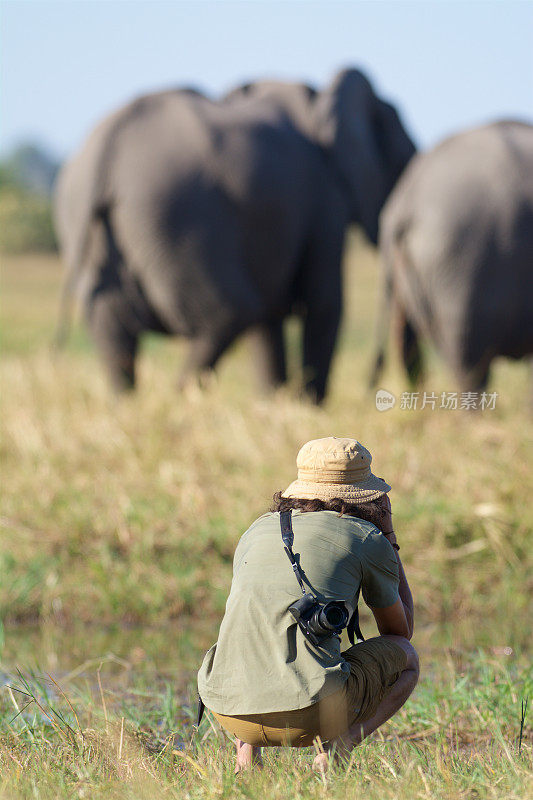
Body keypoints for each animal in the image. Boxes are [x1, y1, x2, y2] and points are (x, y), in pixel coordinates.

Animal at [54, 67, 414, 398]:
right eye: (402, 165)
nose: (373, 385)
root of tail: (106, 148)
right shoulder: (326, 198)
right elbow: (323, 304)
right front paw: (307, 409)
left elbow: (271, 320)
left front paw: (274, 406)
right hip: (178, 215)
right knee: (232, 311)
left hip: (98, 222)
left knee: (114, 338)